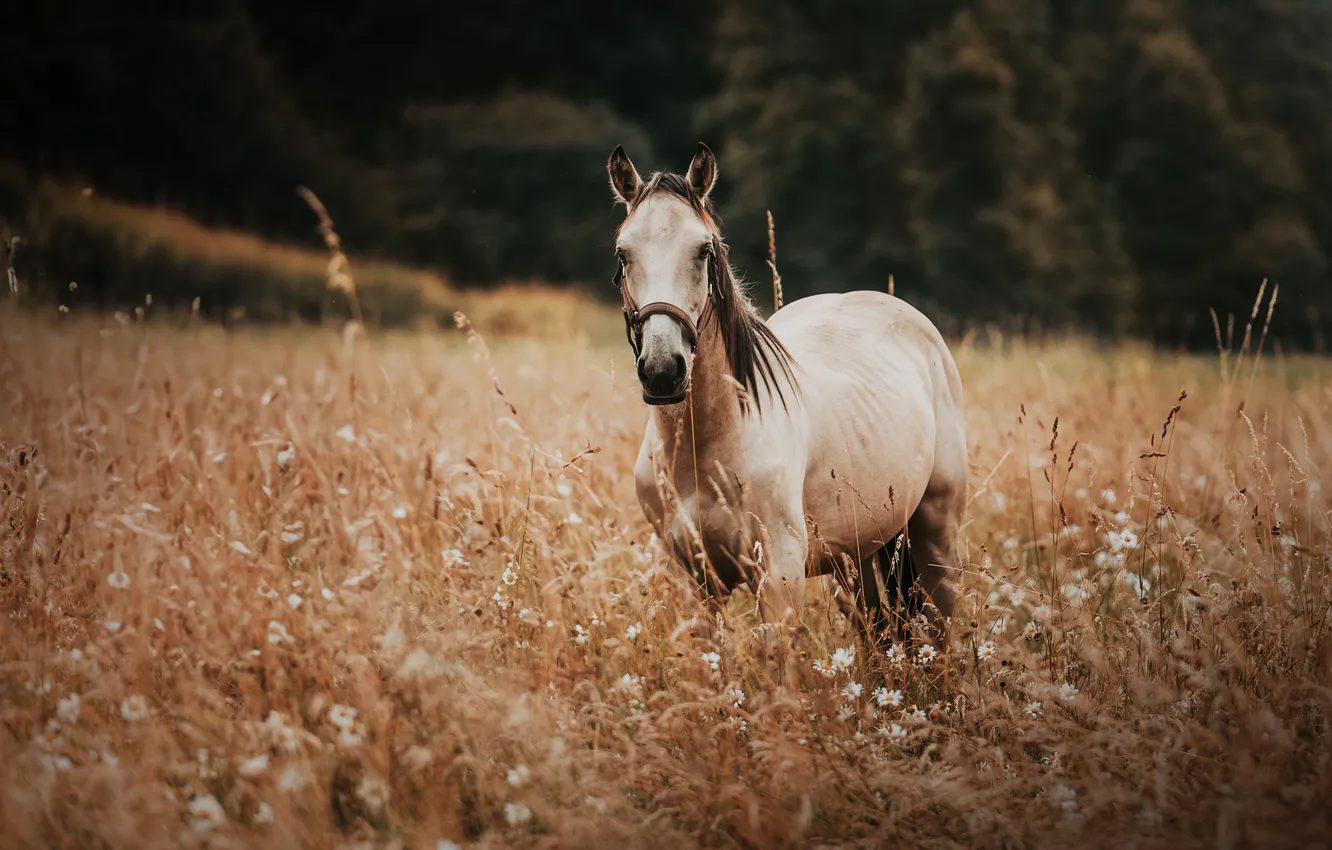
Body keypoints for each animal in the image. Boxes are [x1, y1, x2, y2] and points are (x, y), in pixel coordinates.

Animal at [607, 142, 967, 655]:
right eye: (623, 254)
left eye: (703, 250)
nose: (662, 371)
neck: (709, 446)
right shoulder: (693, 582)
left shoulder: (779, 577)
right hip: (854, 560)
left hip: (936, 537)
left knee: (941, 625)